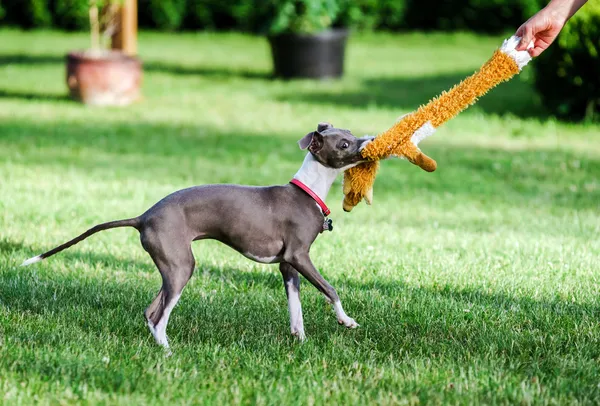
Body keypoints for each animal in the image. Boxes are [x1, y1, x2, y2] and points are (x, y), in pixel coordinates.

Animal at [21, 122, 372, 348]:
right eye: (344, 144)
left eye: (351, 132)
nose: (369, 139)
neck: (307, 191)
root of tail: (144, 217)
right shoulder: (299, 255)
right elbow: (331, 289)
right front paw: (347, 321)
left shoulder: (287, 265)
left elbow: (295, 307)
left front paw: (300, 339)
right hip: (181, 267)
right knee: (159, 315)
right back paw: (167, 352)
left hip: (171, 267)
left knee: (150, 311)